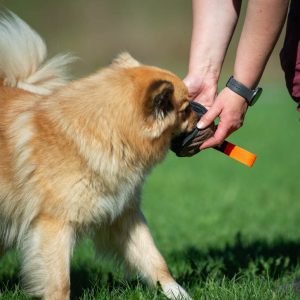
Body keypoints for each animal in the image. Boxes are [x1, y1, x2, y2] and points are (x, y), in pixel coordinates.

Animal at [0, 10, 200, 298]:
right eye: (185, 110)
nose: (200, 115)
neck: (108, 132)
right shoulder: (55, 224)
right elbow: (59, 281)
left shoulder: (124, 216)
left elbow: (154, 260)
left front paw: (176, 292)